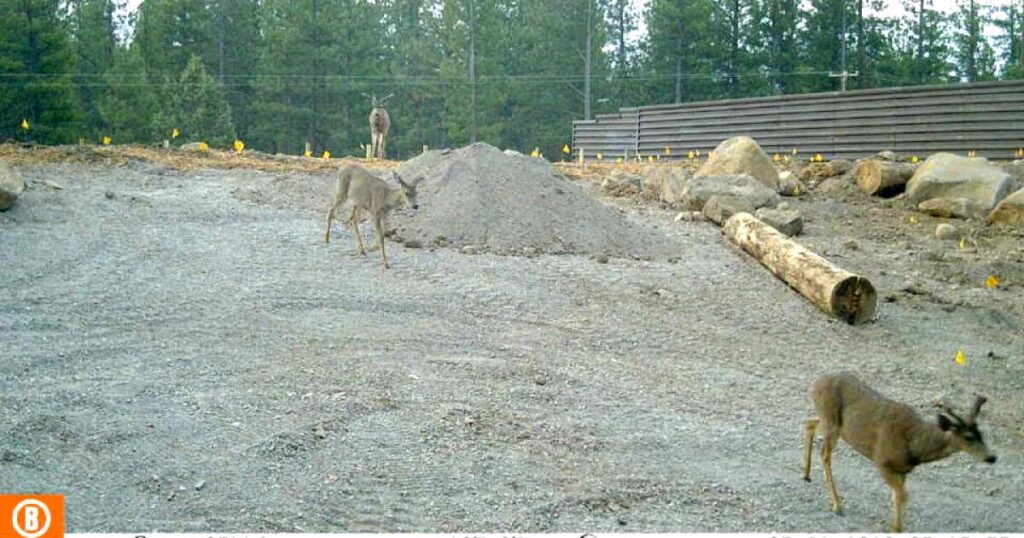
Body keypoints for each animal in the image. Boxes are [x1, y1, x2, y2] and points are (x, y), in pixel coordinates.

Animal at [802, 373, 996, 532]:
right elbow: (903, 495)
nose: (992, 457)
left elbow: (898, 496)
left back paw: (806, 474)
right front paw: (896, 528)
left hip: (833, 425)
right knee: (825, 455)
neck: (914, 446)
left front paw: (896, 525)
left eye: (981, 434)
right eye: (968, 437)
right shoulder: (881, 460)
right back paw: (837, 505)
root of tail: (814, 384)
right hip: (831, 422)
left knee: (810, 423)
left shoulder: (903, 470)